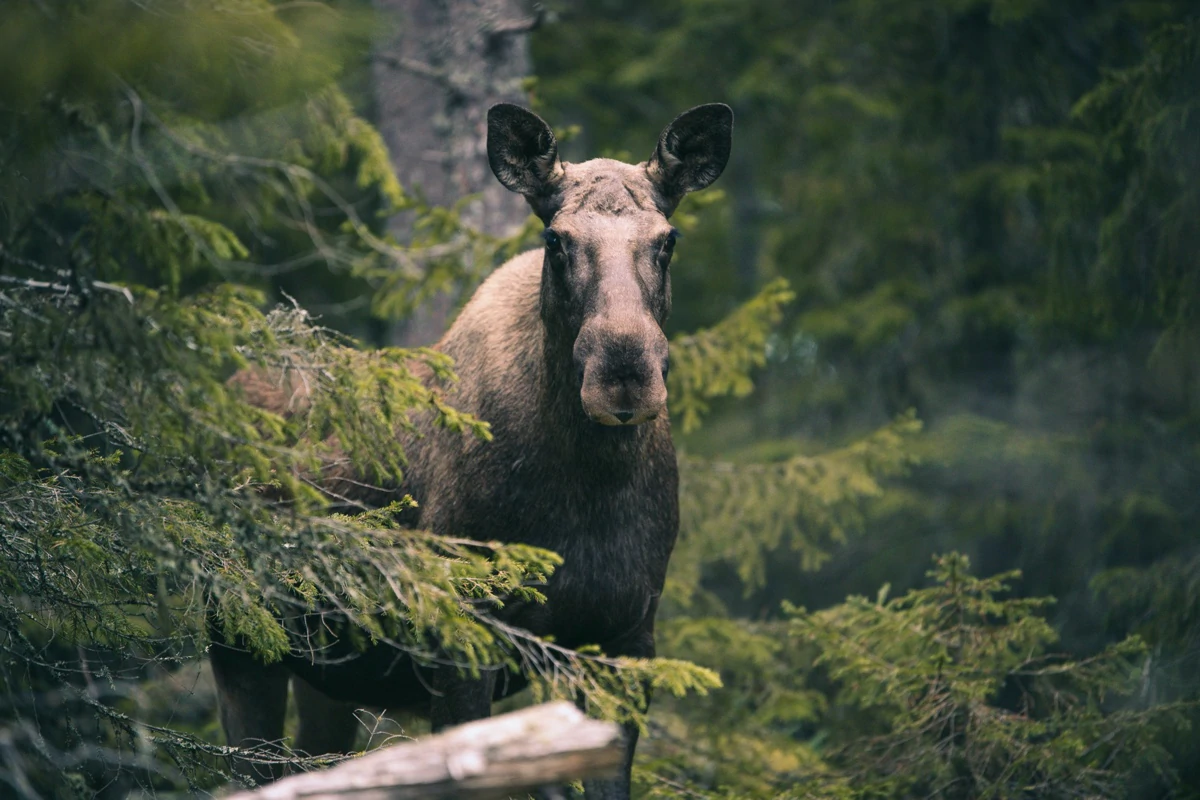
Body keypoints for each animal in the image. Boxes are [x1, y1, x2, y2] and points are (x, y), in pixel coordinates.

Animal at [212, 103, 734, 796]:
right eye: (556, 240)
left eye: (667, 239)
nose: (624, 371)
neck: (589, 484)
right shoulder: (464, 639)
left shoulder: (624, 643)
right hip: (239, 639)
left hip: (327, 672)